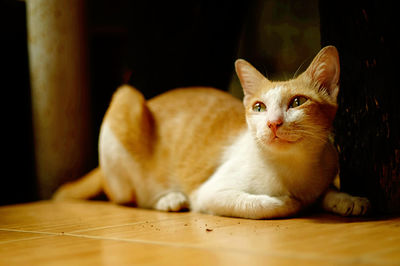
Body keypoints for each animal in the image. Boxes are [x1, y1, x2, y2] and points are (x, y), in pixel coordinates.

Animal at [54, 46, 370, 218]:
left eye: (297, 102)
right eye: (259, 107)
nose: (273, 123)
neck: (295, 167)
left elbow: (326, 190)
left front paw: (347, 199)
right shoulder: (209, 193)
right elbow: (262, 204)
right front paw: (289, 202)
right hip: (126, 100)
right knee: (128, 198)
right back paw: (168, 199)